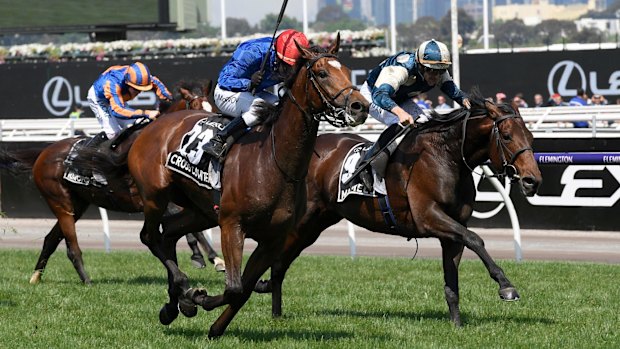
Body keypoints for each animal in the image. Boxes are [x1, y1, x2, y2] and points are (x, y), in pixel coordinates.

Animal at [0, 80, 225, 284]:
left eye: (213, 109)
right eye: (195, 109)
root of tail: (44, 153)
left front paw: (213, 258)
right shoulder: (154, 199)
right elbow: (193, 230)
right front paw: (207, 258)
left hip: (77, 205)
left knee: (50, 239)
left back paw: (36, 277)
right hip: (60, 202)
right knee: (71, 247)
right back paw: (87, 281)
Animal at [124, 34, 368, 336]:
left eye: (346, 70)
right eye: (322, 73)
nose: (360, 105)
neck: (274, 162)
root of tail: (152, 127)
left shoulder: (273, 238)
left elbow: (244, 289)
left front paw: (211, 323)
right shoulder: (232, 225)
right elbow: (235, 287)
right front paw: (198, 297)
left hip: (201, 211)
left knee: (168, 232)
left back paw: (174, 304)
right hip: (155, 196)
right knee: (150, 236)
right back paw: (182, 288)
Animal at [254, 92, 540, 326]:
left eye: (531, 137)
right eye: (506, 136)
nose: (532, 180)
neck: (445, 156)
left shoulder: (452, 229)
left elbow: (453, 279)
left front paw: (457, 325)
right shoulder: (428, 216)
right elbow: (476, 239)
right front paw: (506, 286)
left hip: (316, 223)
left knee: (282, 262)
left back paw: (273, 306)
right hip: (303, 221)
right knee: (278, 262)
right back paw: (272, 306)